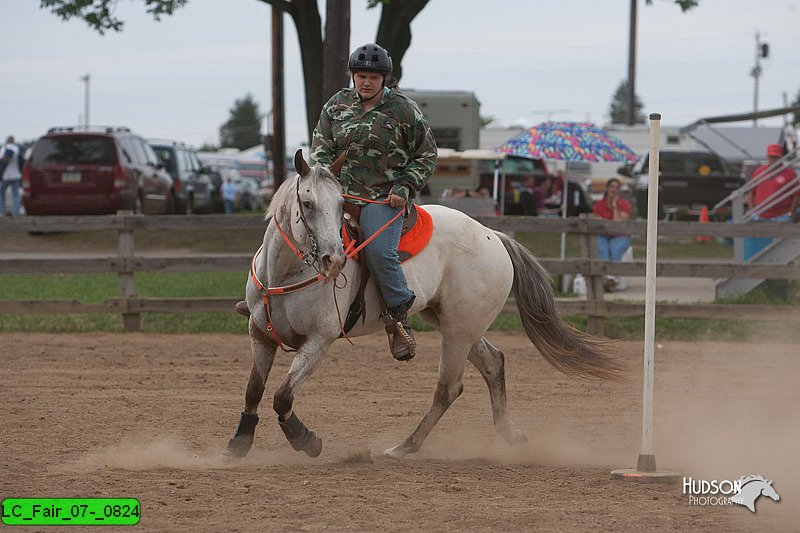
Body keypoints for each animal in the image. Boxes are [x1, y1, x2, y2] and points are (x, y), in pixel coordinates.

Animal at [227, 149, 624, 458]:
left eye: (340, 204)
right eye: (307, 204)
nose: (334, 259)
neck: (284, 274)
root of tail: (494, 236)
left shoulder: (319, 340)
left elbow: (282, 395)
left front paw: (306, 440)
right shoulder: (259, 334)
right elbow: (254, 389)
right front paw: (239, 442)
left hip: (458, 331)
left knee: (448, 388)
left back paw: (403, 447)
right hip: (454, 323)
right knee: (493, 362)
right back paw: (510, 435)